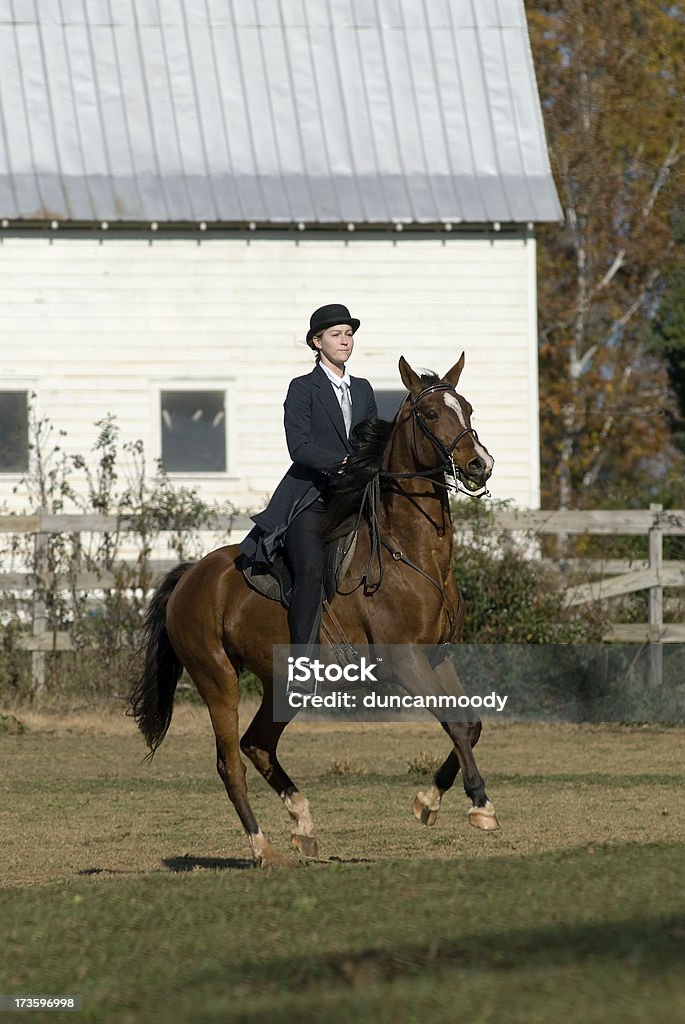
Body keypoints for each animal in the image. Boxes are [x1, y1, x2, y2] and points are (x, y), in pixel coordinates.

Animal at [131, 356, 499, 868]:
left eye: (466, 407)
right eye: (429, 415)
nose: (479, 464)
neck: (411, 550)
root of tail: (190, 576)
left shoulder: (438, 655)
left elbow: (472, 722)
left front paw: (428, 801)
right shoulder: (406, 661)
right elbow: (457, 724)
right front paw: (481, 805)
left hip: (282, 684)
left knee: (257, 745)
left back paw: (302, 822)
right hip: (217, 678)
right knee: (230, 762)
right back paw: (263, 847)